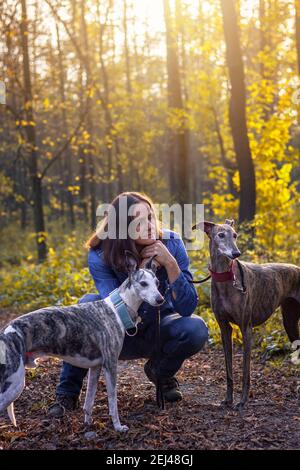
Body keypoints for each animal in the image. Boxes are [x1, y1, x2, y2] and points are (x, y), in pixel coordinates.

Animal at [192, 218, 300, 410]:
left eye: (235, 235)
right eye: (221, 235)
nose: (236, 253)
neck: (226, 278)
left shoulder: (246, 328)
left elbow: (245, 371)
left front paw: (242, 401)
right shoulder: (224, 328)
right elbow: (229, 369)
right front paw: (228, 399)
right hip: (290, 321)